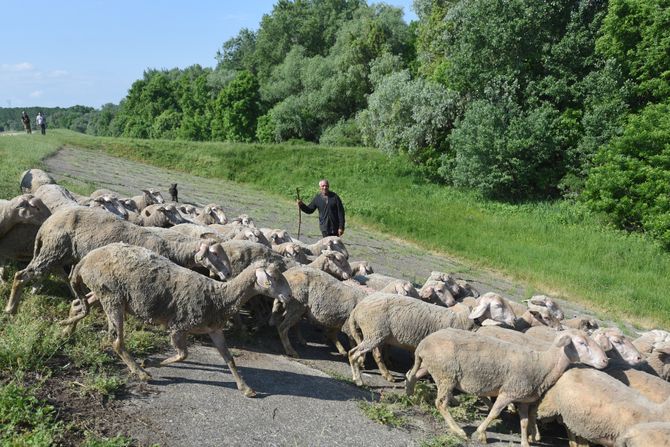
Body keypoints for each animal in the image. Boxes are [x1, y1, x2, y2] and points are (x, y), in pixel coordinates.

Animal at [5, 206, 234, 316]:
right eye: (215, 253)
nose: (229, 274)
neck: (169, 248)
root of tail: (46, 223)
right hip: (53, 249)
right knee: (22, 275)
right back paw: (11, 308)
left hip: (58, 252)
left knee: (56, 274)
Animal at [63, 242, 294, 400]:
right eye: (274, 278)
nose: (289, 296)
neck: (218, 296)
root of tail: (87, 259)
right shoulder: (178, 327)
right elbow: (183, 355)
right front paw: (150, 362)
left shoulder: (214, 330)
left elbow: (229, 359)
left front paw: (245, 388)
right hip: (113, 297)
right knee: (116, 341)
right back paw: (141, 372)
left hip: (102, 292)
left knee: (78, 304)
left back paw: (67, 331)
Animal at [346, 292, 520, 386]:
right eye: (498, 306)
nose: (515, 320)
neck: (462, 320)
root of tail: (358, 308)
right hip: (374, 331)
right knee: (353, 353)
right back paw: (359, 380)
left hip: (378, 333)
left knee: (372, 353)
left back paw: (383, 374)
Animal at [406, 328, 612, 446]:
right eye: (582, 343)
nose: (605, 361)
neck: (542, 364)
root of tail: (424, 343)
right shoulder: (508, 392)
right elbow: (494, 413)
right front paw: (481, 434)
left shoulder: (523, 399)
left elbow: (524, 422)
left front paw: (525, 443)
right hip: (446, 374)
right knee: (441, 403)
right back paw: (459, 431)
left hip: (433, 367)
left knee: (412, 374)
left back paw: (410, 394)